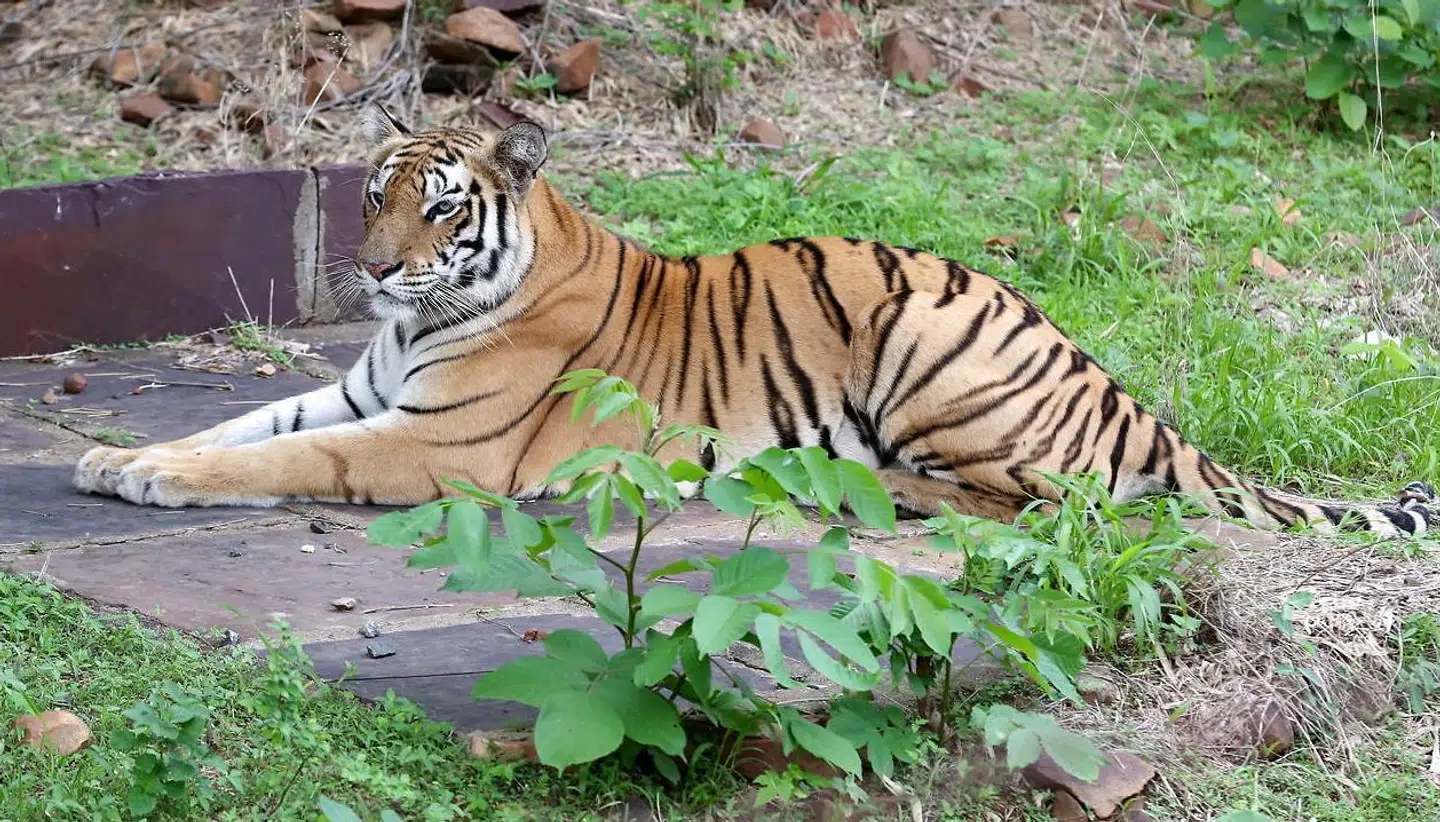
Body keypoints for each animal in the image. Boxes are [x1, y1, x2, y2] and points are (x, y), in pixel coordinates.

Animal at [72, 104, 1438, 540]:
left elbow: (290, 456)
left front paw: (153, 477)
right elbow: (250, 423)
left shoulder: (436, 442)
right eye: (372, 194)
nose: (370, 271)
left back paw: (861, 489)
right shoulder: (366, 389)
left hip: (933, 344)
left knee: (1042, 501)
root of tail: (1109, 382)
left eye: (440, 204)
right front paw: (114, 458)